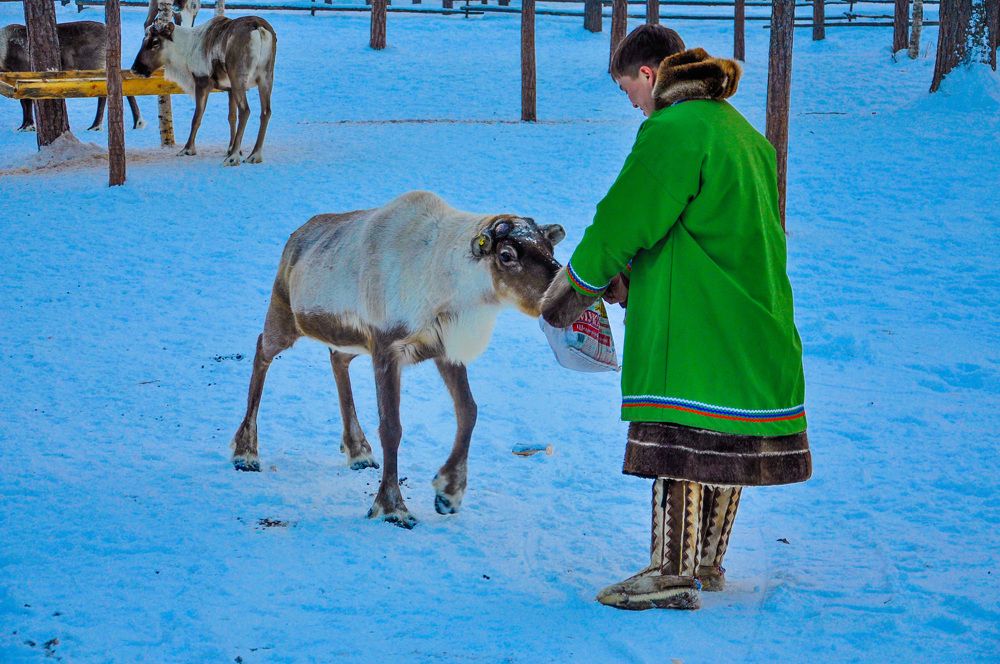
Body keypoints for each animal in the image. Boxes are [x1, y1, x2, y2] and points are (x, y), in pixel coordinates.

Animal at [230, 191, 566, 529]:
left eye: (549, 248)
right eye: (507, 255)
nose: (558, 296)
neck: (451, 284)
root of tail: (295, 236)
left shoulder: (443, 347)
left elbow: (468, 411)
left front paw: (448, 492)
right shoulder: (386, 348)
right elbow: (391, 427)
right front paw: (392, 507)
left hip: (350, 340)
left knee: (337, 358)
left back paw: (358, 450)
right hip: (286, 316)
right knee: (261, 350)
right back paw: (246, 452)